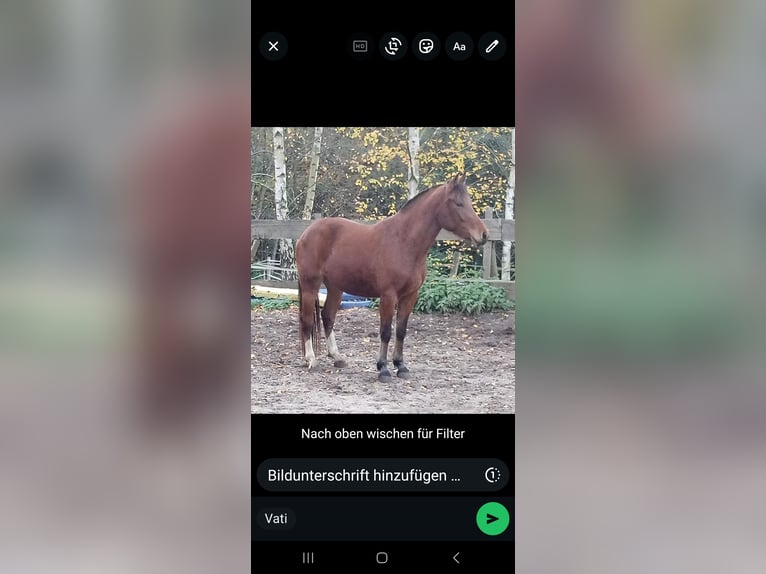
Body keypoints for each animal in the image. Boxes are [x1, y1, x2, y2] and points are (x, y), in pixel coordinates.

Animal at [295, 174, 489, 382]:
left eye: (469, 202)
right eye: (458, 203)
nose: (484, 235)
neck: (404, 242)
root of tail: (307, 232)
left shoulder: (410, 295)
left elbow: (401, 331)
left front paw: (401, 366)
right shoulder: (388, 296)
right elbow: (386, 332)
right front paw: (383, 369)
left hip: (335, 287)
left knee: (328, 316)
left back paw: (337, 357)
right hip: (310, 285)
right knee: (307, 319)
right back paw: (311, 359)